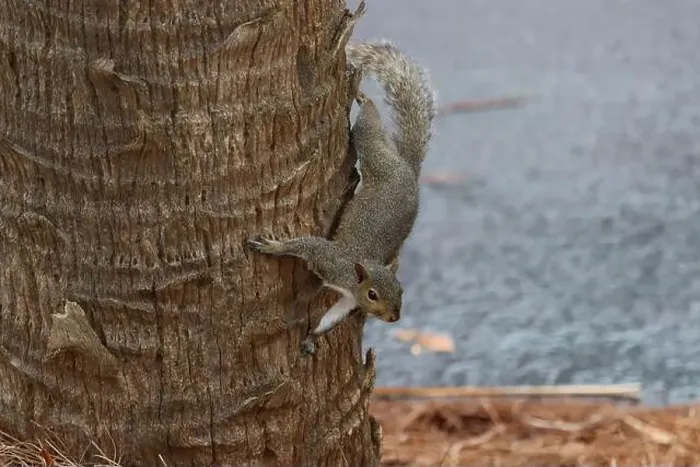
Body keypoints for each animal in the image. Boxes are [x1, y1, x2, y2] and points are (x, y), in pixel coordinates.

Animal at [246, 40, 436, 354]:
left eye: (401, 290)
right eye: (372, 294)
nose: (394, 318)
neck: (353, 280)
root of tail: (409, 171)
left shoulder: (347, 299)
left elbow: (331, 315)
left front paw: (312, 337)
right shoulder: (330, 261)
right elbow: (308, 245)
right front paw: (274, 247)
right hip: (375, 155)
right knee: (368, 127)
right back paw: (362, 96)